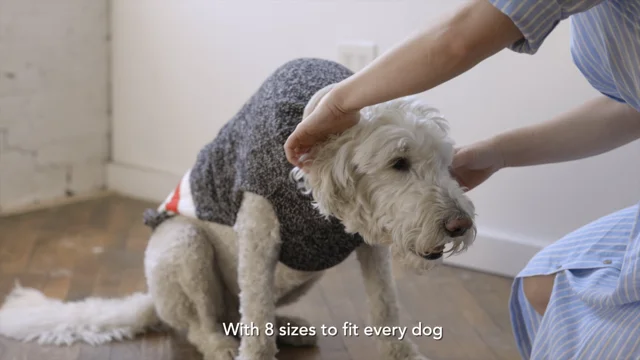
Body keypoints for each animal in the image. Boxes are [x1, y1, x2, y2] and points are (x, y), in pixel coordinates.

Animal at [0, 65, 476, 360]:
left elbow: (386, 306)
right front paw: (256, 351)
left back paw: (288, 326)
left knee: (245, 312)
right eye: (398, 163)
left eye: (445, 162)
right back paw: (220, 344)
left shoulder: (371, 248)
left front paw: (404, 354)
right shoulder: (259, 237)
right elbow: (257, 317)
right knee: (208, 323)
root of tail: (152, 301)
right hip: (182, 246)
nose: (460, 224)